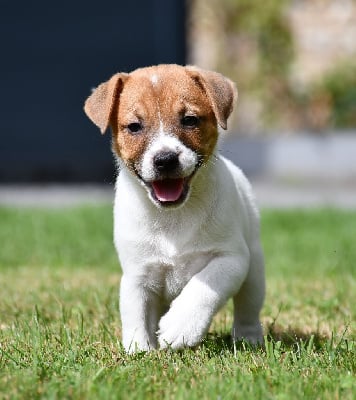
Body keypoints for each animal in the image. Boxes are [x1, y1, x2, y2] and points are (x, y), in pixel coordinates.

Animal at [85, 63, 266, 354]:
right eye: (134, 126)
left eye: (190, 120)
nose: (165, 159)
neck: (173, 215)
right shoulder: (137, 272)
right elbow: (134, 311)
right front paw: (139, 349)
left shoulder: (231, 258)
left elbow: (205, 285)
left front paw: (182, 326)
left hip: (254, 273)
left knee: (247, 309)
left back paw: (248, 339)